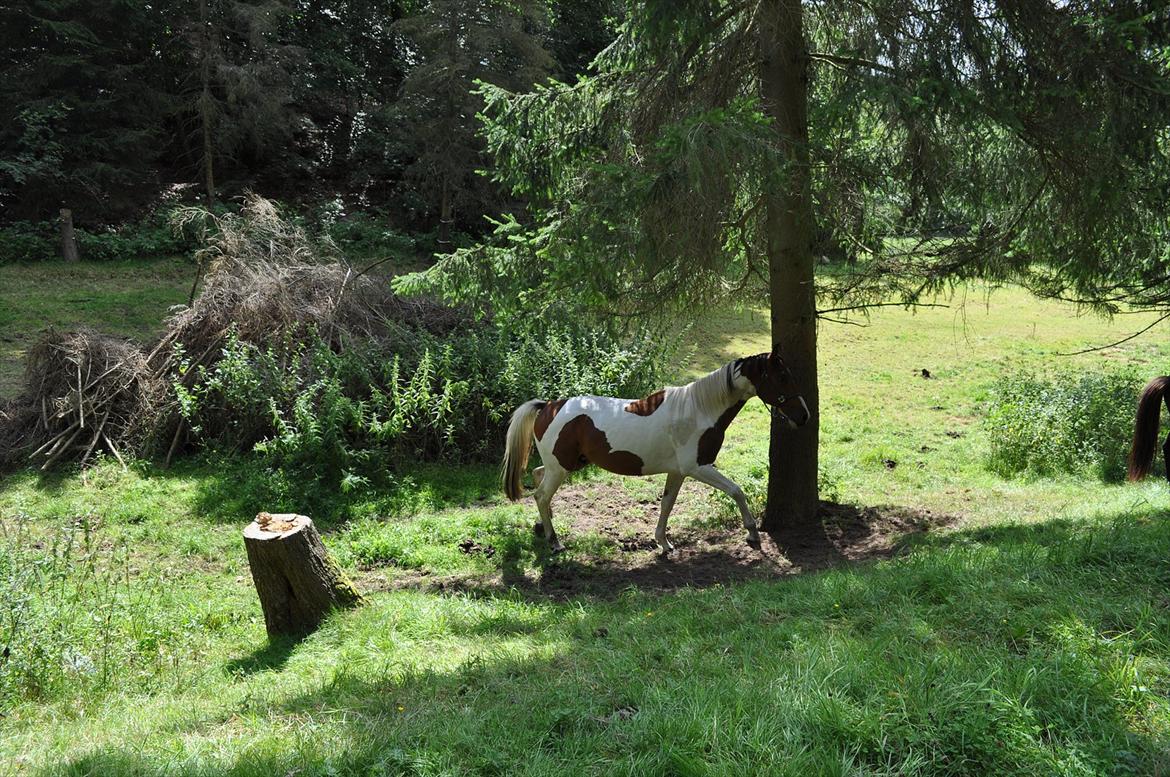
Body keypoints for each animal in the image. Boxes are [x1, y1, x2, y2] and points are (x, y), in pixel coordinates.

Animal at [498, 346, 809, 552]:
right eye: (782, 376)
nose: (803, 416)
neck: (699, 410)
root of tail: (548, 406)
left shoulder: (679, 472)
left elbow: (667, 504)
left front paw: (663, 543)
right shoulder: (698, 468)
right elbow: (736, 490)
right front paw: (752, 534)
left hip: (566, 464)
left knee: (538, 480)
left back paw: (542, 528)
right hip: (561, 467)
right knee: (540, 495)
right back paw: (555, 542)